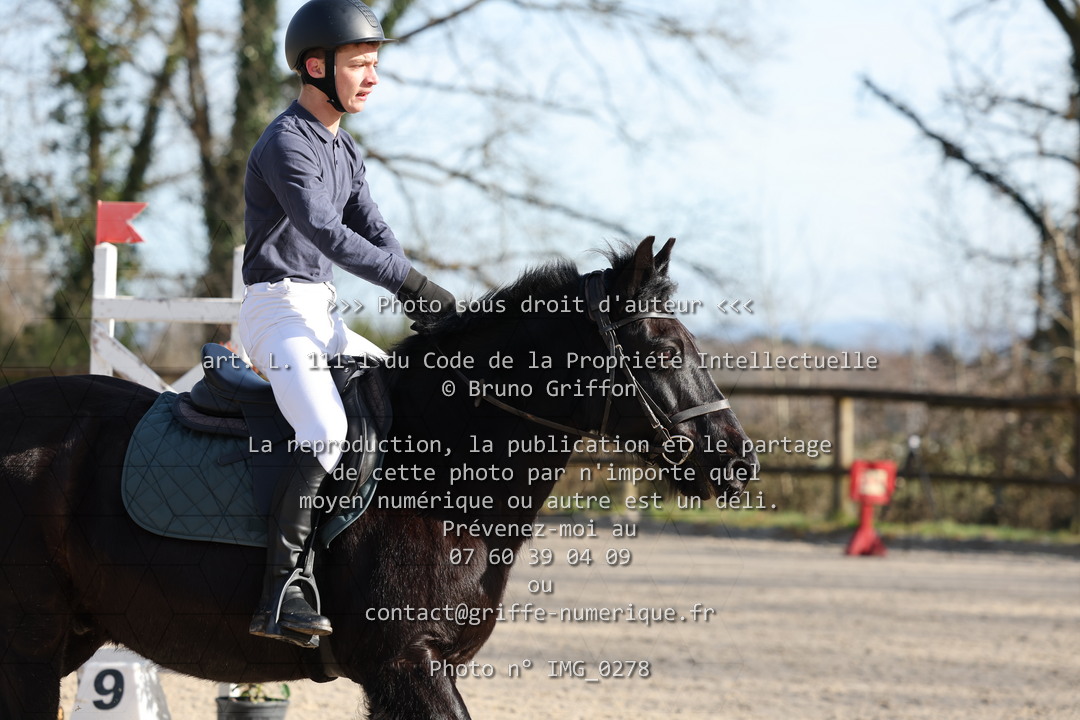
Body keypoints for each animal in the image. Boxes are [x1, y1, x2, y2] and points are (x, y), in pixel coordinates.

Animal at [0, 237, 757, 719]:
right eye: (662, 348)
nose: (737, 462)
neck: (443, 471)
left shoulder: (419, 669)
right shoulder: (404, 665)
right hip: (31, 640)